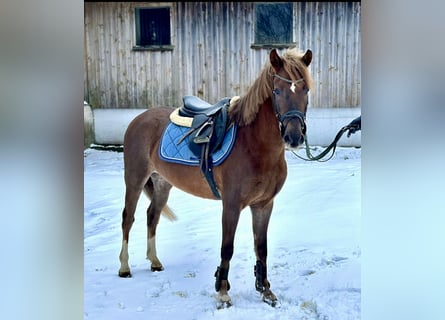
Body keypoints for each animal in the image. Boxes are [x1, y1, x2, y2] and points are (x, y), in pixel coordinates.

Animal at [118, 48, 312, 308]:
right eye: (277, 90)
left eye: (306, 90)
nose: (294, 136)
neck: (254, 144)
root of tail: (139, 119)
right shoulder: (231, 205)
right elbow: (227, 248)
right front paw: (222, 292)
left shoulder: (263, 205)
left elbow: (261, 248)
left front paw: (265, 291)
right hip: (135, 179)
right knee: (128, 219)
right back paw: (124, 267)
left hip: (162, 183)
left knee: (152, 216)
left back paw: (155, 262)